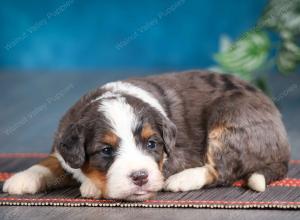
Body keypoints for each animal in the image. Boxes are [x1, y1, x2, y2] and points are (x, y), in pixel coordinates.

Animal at [3, 71, 290, 201]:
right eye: (106, 150)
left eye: (152, 144)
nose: (140, 177)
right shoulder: (63, 142)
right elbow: (53, 160)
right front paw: (22, 178)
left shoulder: (176, 154)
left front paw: (90, 185)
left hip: (229, 118)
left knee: (222, 169)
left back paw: (183, 180)